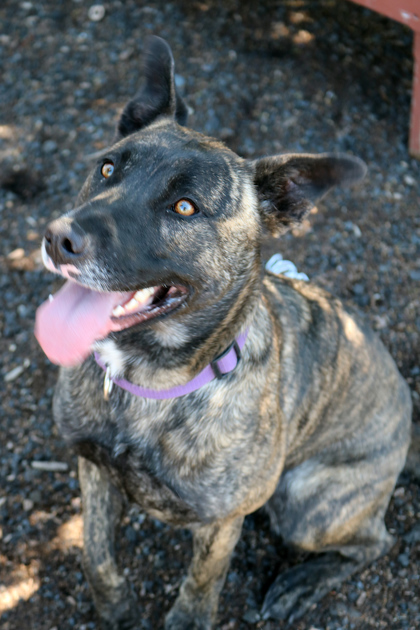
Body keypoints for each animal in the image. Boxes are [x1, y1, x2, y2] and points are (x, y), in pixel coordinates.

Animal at [34, 38, 412, 630]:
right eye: (107, 167)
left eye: (185, 207)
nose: (57, 237)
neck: (147, 381)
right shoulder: (91, 467)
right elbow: (96, 554)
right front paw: (116, 608)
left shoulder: (219, 525)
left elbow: (200, 585)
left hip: (307, 502)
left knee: (376, 541)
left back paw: (299, 584)